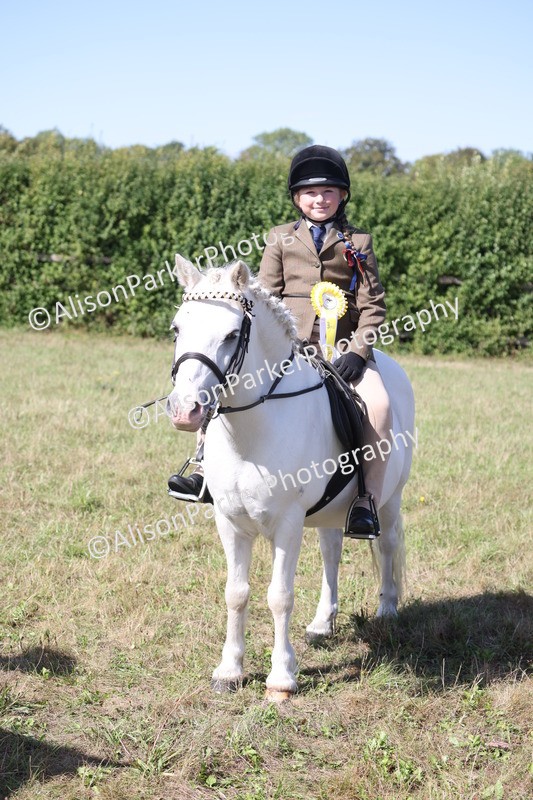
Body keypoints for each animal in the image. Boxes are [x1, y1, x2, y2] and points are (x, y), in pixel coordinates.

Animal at [167, 255, 416, 701]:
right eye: (178, 328)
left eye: (232, 334)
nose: (184, 410)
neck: (252, 430)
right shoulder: (229, 521)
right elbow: (236, 593)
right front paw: (229, 670)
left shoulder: (286, 523)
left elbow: (279, 596)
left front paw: (281, 679)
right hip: (330, 509)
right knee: (332, 552)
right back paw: (322, 623)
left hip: (390, 499)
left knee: (387, 543)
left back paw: (387, 610)